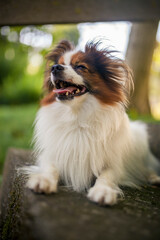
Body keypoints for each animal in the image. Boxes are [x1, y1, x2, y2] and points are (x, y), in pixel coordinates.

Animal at [23, 40, 160, 205]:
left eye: (81, 67)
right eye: (58, 64)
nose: (55, 68)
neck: (77, 116)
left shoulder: (114, 165)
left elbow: (106, 176)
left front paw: (103, 191)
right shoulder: (54, 154)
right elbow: (51, 167)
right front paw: (44, 179)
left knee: (147, 167)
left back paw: (154, 177)